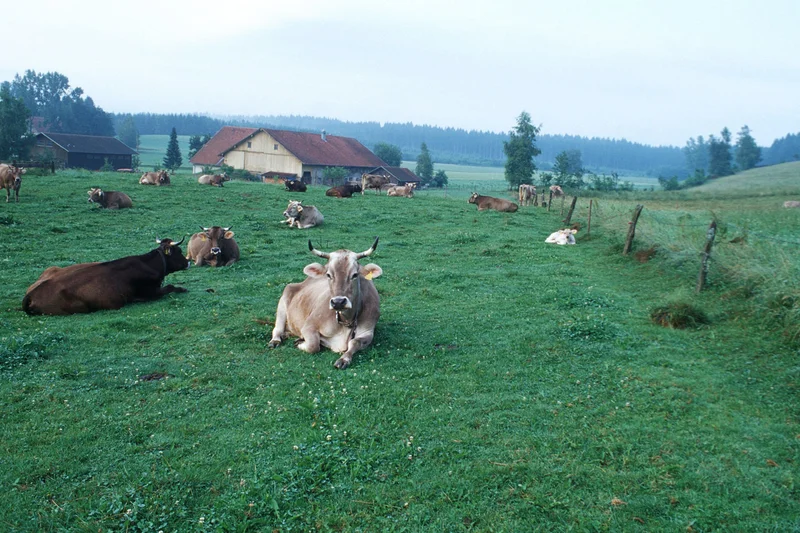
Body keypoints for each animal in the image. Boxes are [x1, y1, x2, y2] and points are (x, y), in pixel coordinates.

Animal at [22, 237, 188, 315]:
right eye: (179, 251)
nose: (188, 262)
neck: (148, 264)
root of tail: (31, 294)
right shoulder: (151, 292)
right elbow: (170, 287)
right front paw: (182, 289)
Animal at [268, 238, 383, 369]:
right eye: (328, 275)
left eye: (354, 275)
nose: (338, 302)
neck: (346, 321)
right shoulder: (309, 325)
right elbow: (313, 345)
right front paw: (300, 343)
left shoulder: (368, 331)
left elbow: (355, 342)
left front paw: (344, 359)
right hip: (284, 300)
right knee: (277, 328)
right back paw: (276, 340)